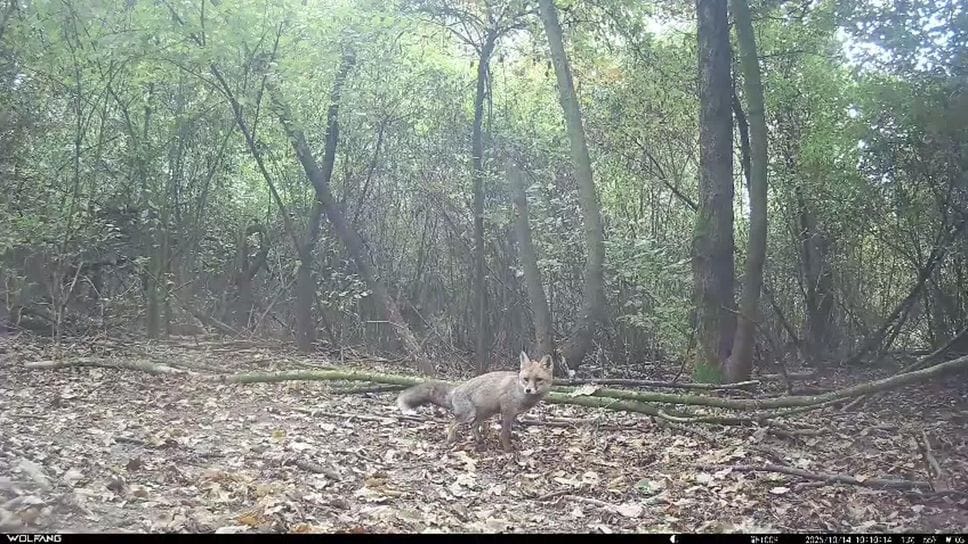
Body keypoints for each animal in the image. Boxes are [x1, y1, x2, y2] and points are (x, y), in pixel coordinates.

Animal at [396, 351, 554, 451]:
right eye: (526, 379)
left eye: (538, 379)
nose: (528, 390)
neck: (519, 392)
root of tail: (457, 389)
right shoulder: (506, 411)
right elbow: (504, 433)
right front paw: (508, 450)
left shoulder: (513, 414)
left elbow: (508, 431)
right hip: (469, 414)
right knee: (452, 424)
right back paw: (451, 441)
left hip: (484, 414)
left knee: (473, 426)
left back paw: (479, 441)